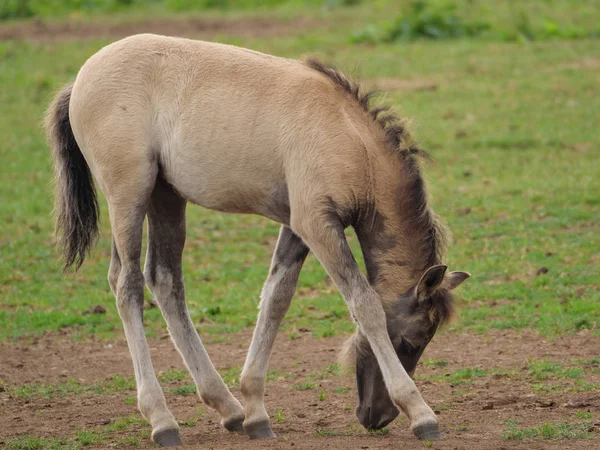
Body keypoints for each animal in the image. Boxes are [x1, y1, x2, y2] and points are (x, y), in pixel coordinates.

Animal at [45, 33, 468, 444]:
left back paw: (227, 407)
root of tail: (79, 80)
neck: (349, 136)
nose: (376, 417)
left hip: (166, 197)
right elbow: (365, 306)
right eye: (411, 342)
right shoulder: (317, 224)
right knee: (127, 284)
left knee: (164, 280)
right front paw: (421, 413)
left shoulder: (297, 227)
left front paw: (255, 410)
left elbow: (277, 299)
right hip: (129, 196)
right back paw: (162, 420)